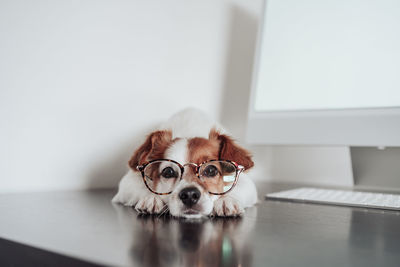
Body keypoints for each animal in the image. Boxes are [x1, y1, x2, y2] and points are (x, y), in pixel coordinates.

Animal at [111, 109, 258, 220]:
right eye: (168, 172)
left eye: (211, 170)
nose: (189, 195)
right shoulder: (128, 182)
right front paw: (151, 197)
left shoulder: (245, 182)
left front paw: (226, 200)